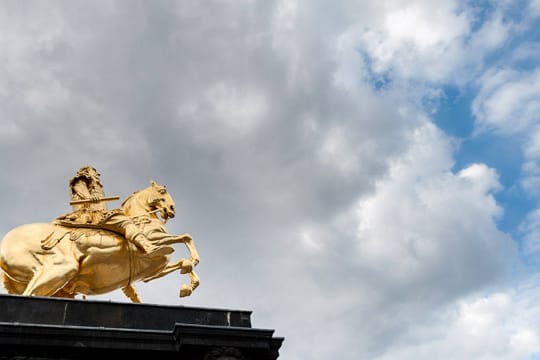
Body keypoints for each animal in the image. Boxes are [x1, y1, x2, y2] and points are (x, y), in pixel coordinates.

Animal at [0, 180, 200, 300]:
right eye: (162, 191)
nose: (172, 209)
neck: (142, 217)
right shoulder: (156, 239)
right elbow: (185, 237)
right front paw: (195, 261)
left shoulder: (152, 273)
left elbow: (182, 262)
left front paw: (187, 286)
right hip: (60, 269)